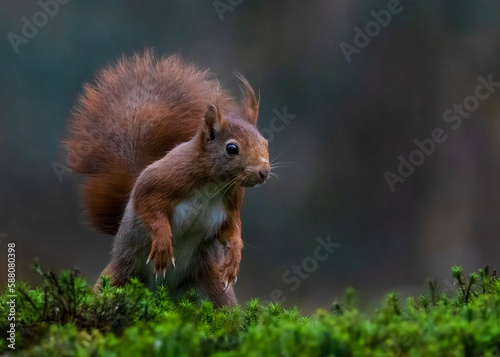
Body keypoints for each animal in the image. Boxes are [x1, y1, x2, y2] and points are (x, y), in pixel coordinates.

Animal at [66, 50, 272, 306]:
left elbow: (231, 230)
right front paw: (163, 242)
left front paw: (234, 257)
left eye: (265, 142)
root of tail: (164, 292)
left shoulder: (231, 201)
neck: (213, 183)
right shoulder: (163, 179)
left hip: (213, 283)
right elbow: (147, 205)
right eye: (231, 148)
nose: (263, 172)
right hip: (120, 273)